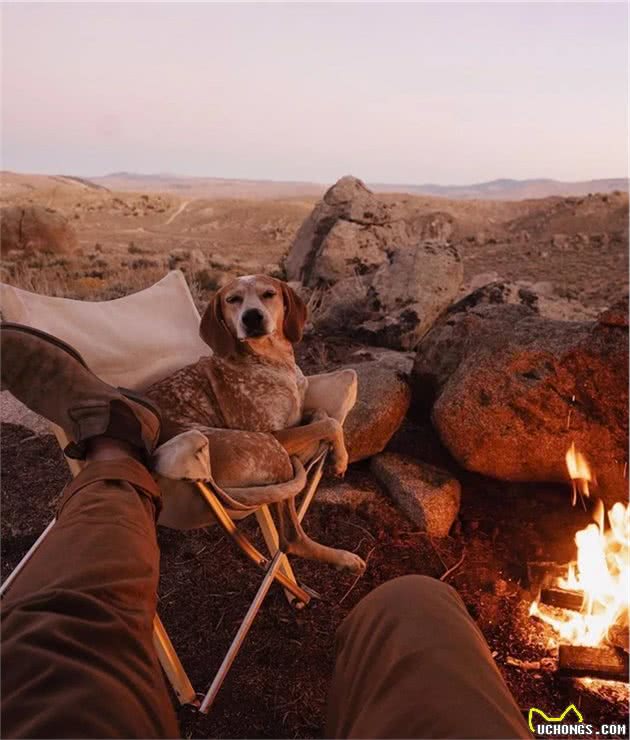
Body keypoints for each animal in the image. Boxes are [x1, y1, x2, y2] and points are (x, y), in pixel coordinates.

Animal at [148, 274, 366, 576]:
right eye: (233, 299)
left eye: (269, 294)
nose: (252, 317)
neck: (272, 361)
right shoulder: (276, 434)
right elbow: (330, 423)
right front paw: (341, 458)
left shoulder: (298, 413)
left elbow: (321, 413)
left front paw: (333, 442)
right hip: (272, 450)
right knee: (290, 536)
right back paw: (341, 557)